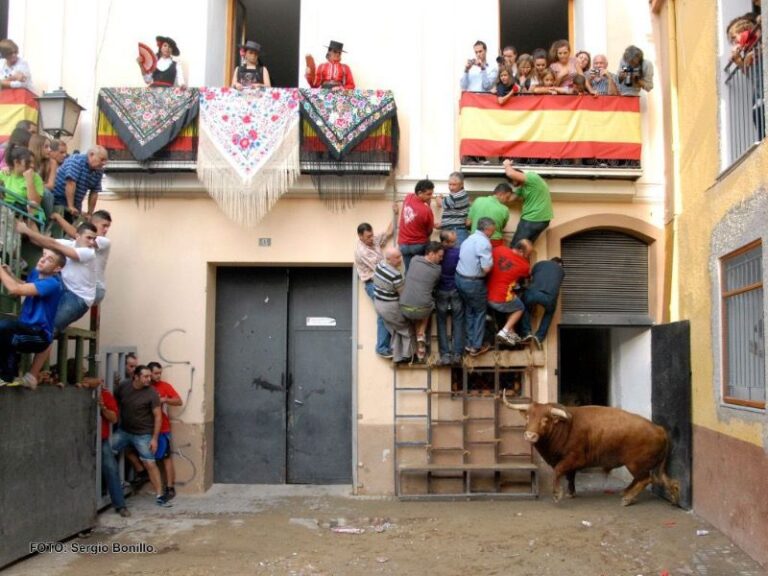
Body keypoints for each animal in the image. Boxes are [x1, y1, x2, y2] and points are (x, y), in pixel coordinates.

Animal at [504, 394, 680, 506]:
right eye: (527, 417)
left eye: (545, 420)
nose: (530, 435)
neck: (564, 427)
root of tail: (659, 429)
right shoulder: (569, 461)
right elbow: (570, 476)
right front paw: (571, 493)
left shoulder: (574, 458)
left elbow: (559, 471)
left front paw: (557, 494)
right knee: (656, 480)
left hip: (636, 463)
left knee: (646, 479)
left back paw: (628, 498)